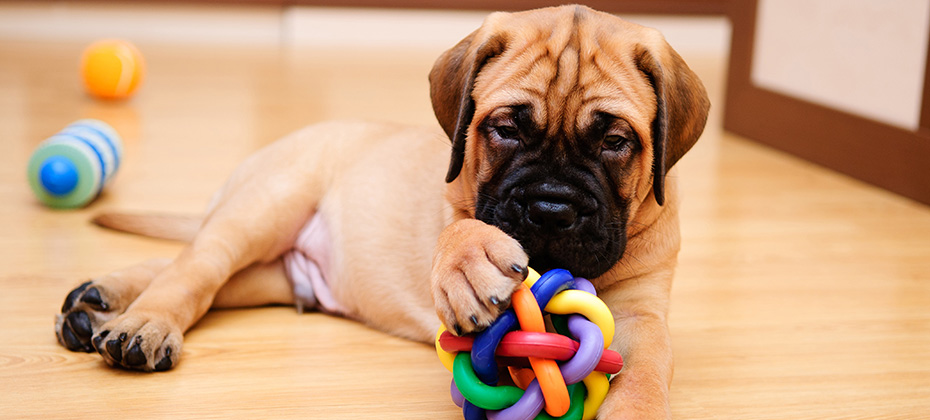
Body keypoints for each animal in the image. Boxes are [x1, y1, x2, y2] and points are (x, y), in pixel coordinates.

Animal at [54, 4, 708, 418]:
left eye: (615, 141)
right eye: (505, 129)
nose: (550, 209)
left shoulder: (644, 313)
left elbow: (646, 373)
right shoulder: (457, 206)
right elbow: (462, 228)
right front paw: (470, 264)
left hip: (279, 273)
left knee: (202, 274)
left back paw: (97, 302)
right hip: (267, 206)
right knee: (197, 266)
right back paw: (139, 322)